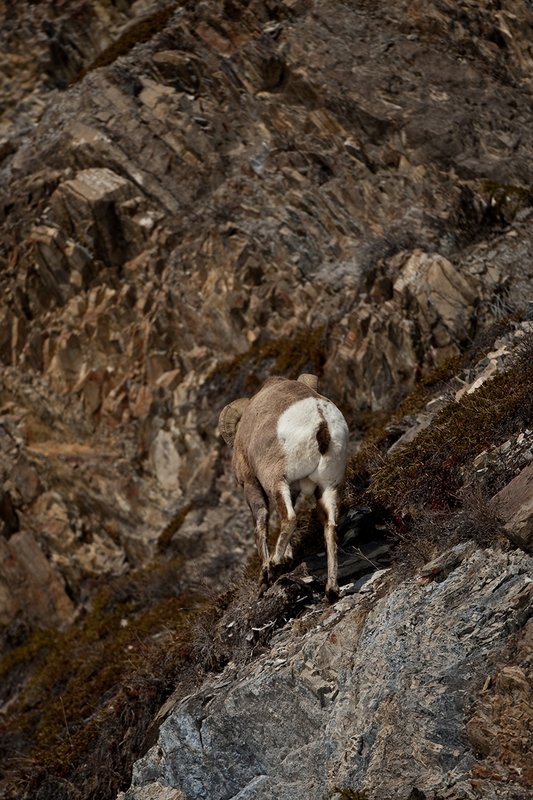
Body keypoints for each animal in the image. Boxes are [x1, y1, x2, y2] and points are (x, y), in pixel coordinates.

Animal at [219, 373, 349, 601]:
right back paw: (331, 590)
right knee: (330, 526)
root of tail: (321, 420)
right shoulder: (294, 489)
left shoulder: (251, 484)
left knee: (289, 518)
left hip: (276, 481)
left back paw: (273, 564)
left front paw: (264, 578)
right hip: (327, 486)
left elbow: (261, 524)